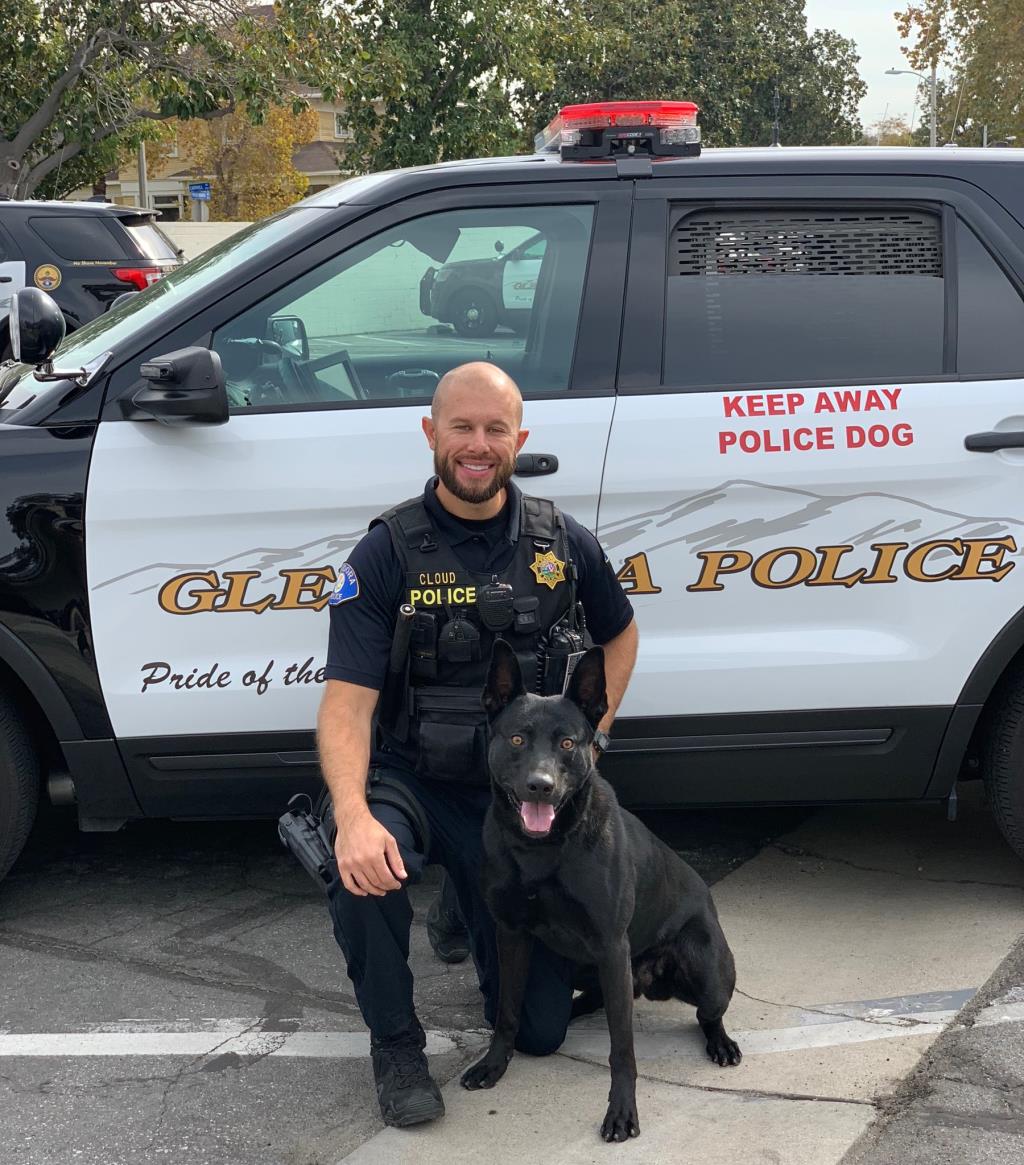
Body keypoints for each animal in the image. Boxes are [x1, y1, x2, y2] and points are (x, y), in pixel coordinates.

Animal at [461, 643, 740, 1141]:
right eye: (517, 740)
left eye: (568, 744)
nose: (541, 786)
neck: (544, 850)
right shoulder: (511, 934)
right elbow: (508, 1012)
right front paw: (494, 1064)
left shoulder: (612, 946)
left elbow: (621, 1047)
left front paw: (622, 1110)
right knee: (596, 1000)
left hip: (703, 970)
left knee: (706, 1013)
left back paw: (720, 1042)